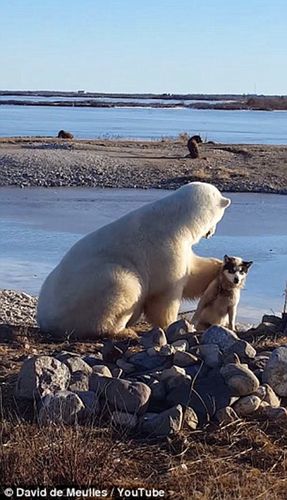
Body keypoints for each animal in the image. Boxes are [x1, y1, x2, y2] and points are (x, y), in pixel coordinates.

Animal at [37, 182, 232, 338]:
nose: (211, 233)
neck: (176, 219)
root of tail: (44, 319)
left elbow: (193, 272)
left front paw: (221, 267)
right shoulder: (165, 247)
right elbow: (165, 292)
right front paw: (172, 324)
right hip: (91, 288)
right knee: (123, 285)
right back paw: (123, 330)